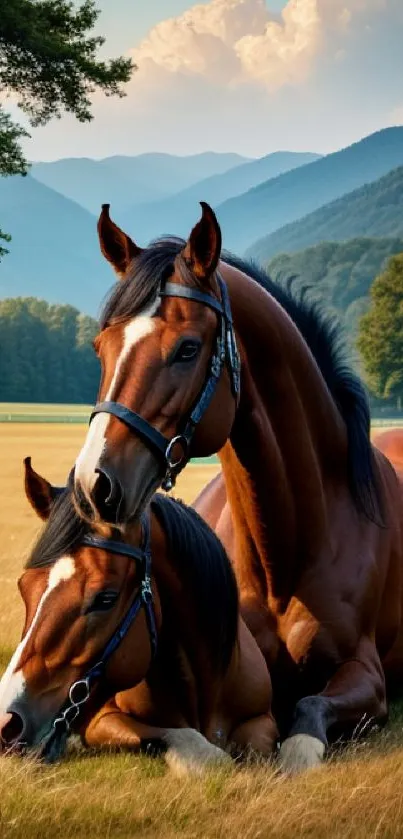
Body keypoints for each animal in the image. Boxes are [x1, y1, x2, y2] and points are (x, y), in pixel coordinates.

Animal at [0, 462, 276, 772]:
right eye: (23, 587)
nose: (7, 723)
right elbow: (195, 745)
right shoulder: (101, 720)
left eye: (105, 598)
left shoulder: (263, 722)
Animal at [74, 203, 403, 776]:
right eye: (101, 348)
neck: (288, 557)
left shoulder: (368, 676)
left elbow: (306, 716)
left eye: (187, 349)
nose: (96, 482)